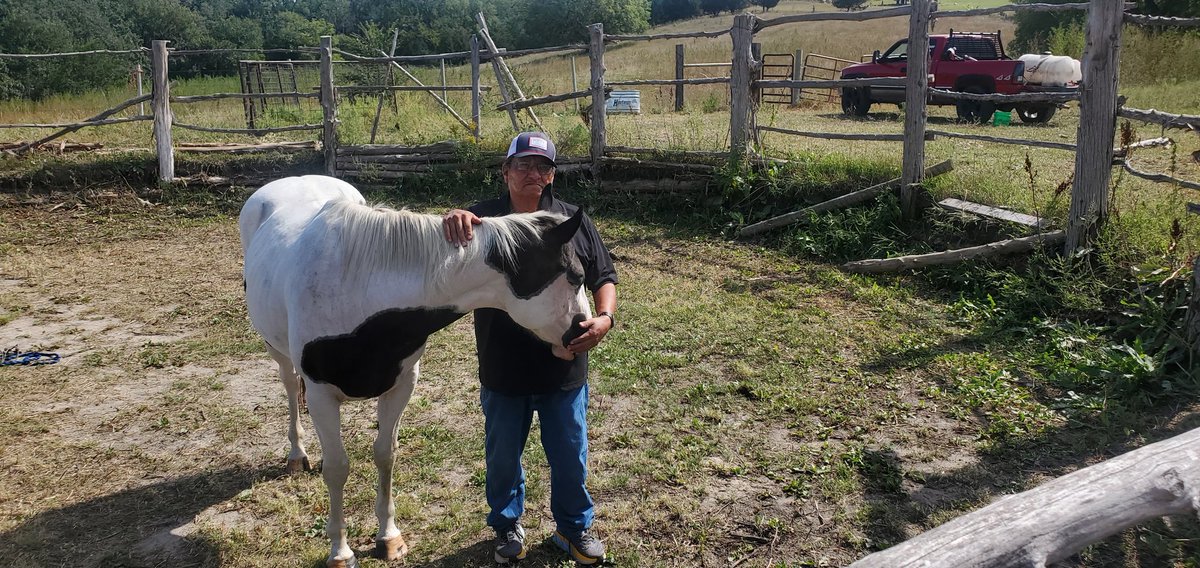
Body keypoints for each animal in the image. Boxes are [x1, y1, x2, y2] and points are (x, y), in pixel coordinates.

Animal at [238, 175, 592, 568]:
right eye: (576, 276)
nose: (585, 333)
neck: (359, 289)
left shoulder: (402, 385)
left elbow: (385, 454)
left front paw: (388, 537)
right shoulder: (320, 395)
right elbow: (337, 467)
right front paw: (340, 551)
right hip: (278, 353)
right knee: (289, 385)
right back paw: (297, 454)